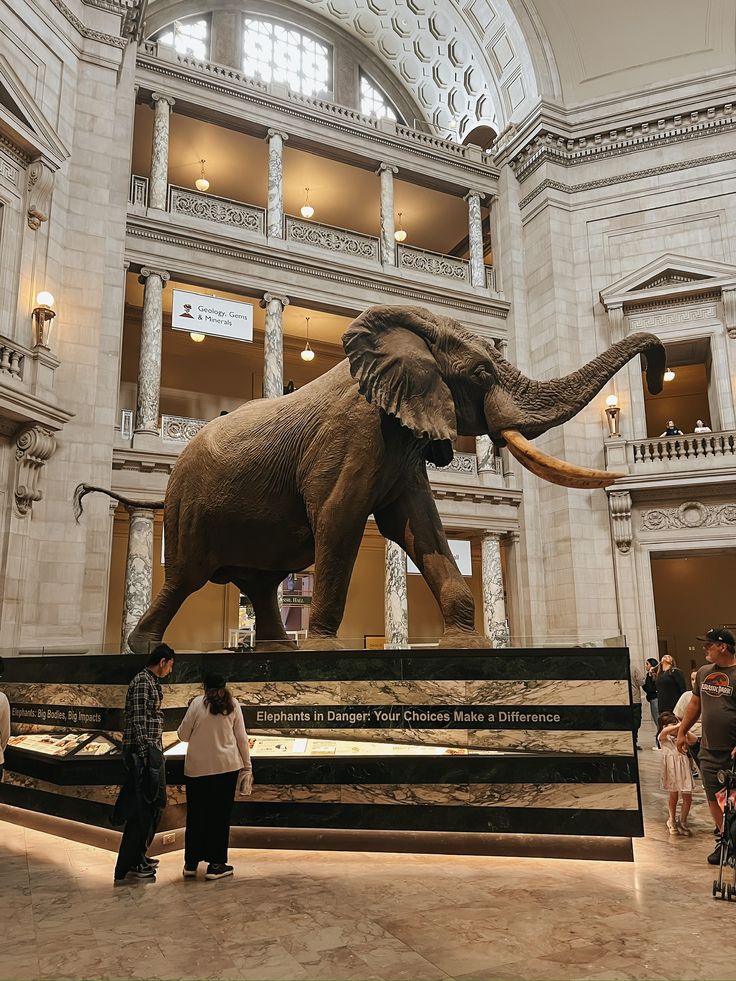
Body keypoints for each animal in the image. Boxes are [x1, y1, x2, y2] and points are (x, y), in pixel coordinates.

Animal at [76, 306, 668, 652]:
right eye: (481, 374)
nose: (657, 370)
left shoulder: (402, 445)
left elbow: (421, 527)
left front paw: (464, 642)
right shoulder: (356, 432)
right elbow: (339, 519)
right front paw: (325, 651)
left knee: (261, 581)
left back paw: (276, 650)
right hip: (191, 506)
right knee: (186, 576)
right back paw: (147, 649)